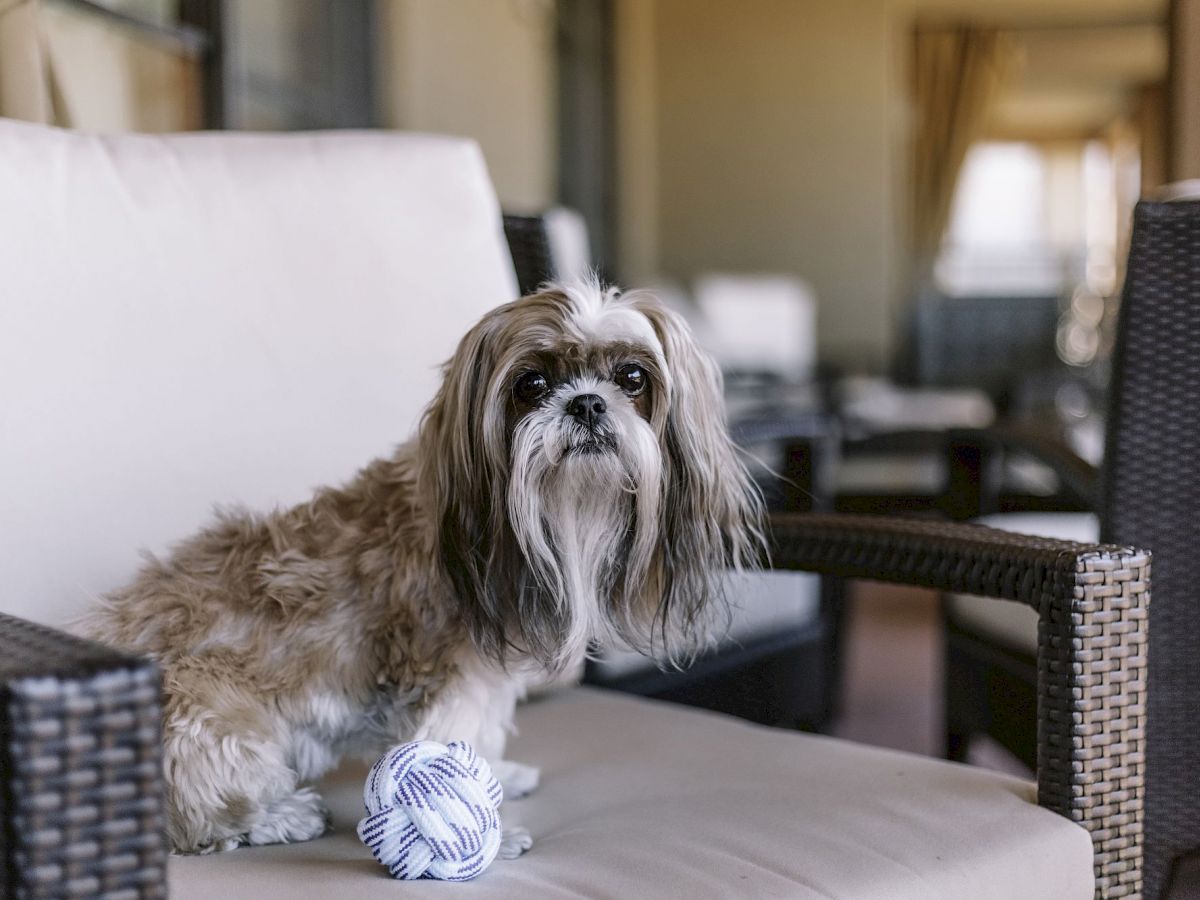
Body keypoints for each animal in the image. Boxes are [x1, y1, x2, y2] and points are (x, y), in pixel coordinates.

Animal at [84, 282, 763, 859]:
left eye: (632, 377)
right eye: (531, 383)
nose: (588, 402)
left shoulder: (489, 675)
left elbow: (484, 735)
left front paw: (497, 775)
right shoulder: (448, 676)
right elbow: (449, 748)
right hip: (212, 723)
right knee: (201, 819)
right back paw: (280, 816)